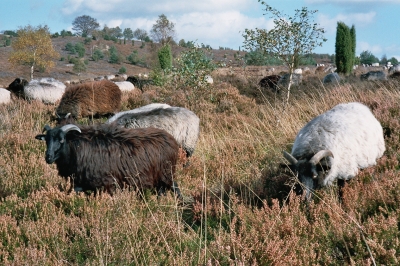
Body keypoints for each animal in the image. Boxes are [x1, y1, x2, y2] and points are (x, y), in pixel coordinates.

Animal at [35, 123, 182, 197]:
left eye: (61, 140)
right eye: (46, 140)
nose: (48, 157)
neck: (75, 147)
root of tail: (171, 139)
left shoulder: (106, 183)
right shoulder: (81, 183)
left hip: (166, 173)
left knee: (175, 189)